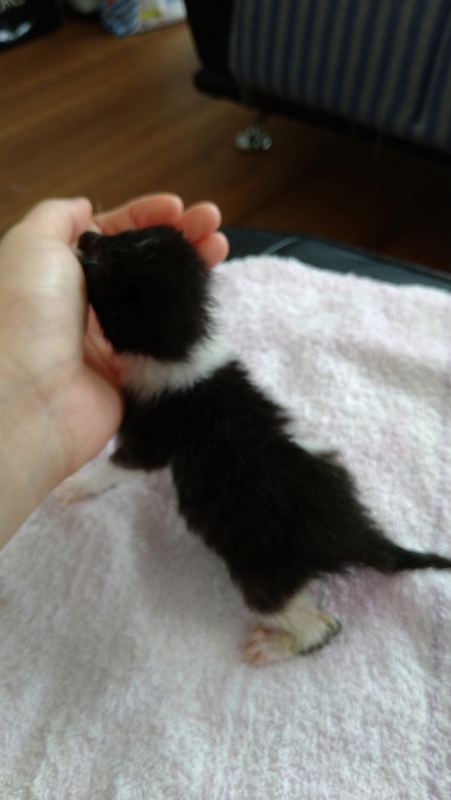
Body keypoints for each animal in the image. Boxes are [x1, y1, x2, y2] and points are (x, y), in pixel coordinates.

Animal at [60, 225, 451, 665]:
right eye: (125, 235)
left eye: (109, 261)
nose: (85, 234)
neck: (183, 349)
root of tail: (357, 534)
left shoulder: (156, 431)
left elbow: (121, 465)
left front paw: (79, 484)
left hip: (264, 568)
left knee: (320, 625)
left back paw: (277, 644)